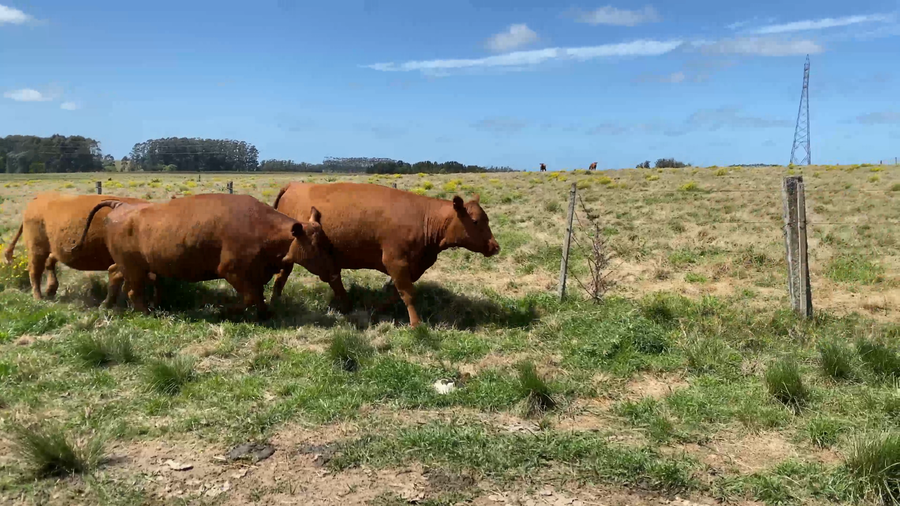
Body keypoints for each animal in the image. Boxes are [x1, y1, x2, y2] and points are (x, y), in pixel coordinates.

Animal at [3, 192, 152, 306]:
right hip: (36, 249)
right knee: (35, 271)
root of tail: (38, 198)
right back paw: (38, 297)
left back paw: (50, 290)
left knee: (49, 262)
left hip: (54, 248)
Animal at [73, 194, 336, 319]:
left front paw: (265, 315)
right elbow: (250, 296)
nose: (334, 271)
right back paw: (147, 313)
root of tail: (120, 206)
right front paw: (224, 311)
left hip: (129, 266)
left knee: (114, 274)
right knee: (132, 291)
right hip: (134, 269)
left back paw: (107, 305)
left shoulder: (255, 275)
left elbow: (258, 296)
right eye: (316, 246)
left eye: (326, 240)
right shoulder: (231, 271)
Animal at [271, 182, 500, 328]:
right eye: (475, 221)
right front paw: (416, 324)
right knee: (284, 275)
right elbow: (408, 293)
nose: (495, 246)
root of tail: (293, 185)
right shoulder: (395, 261)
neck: (425, 218)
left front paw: (377, 308)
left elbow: (394, 293)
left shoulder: (410, 267)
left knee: (329, 278)